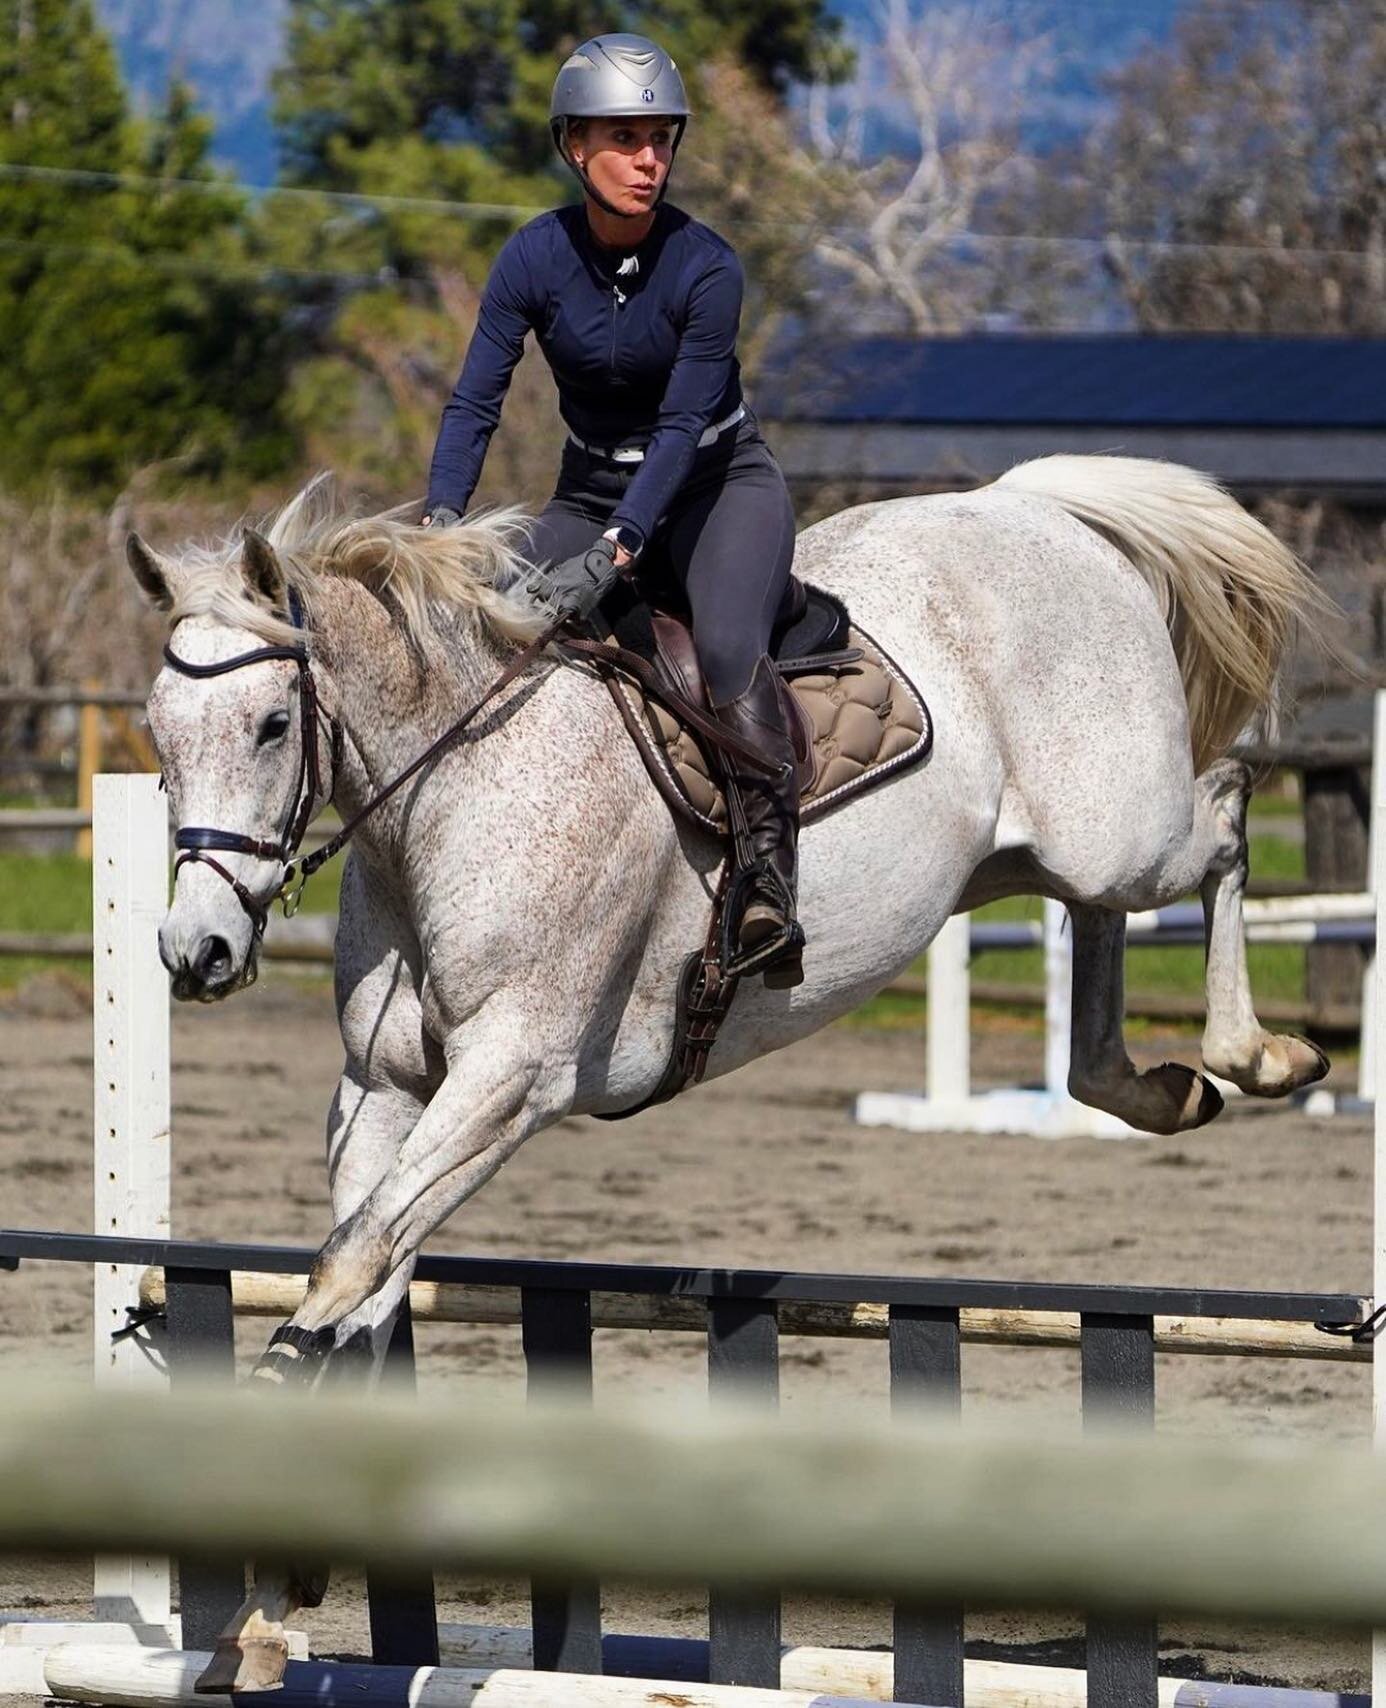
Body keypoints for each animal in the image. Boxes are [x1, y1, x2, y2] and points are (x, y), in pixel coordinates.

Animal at [129, 447, 1333, 1687]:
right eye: (158, 734)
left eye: (274, 723)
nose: (195, 952)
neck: (451, 789)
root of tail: (1032, 504)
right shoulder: (384, 1092)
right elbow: (365, 1275)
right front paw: (280, 1579)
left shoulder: (511, 1078)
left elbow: (354, 1259)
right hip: (1038, 857)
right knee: (1099, 975)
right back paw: (1164, 1088)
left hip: (1126, 832)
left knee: (1225, 818)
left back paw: (1263, 1053)